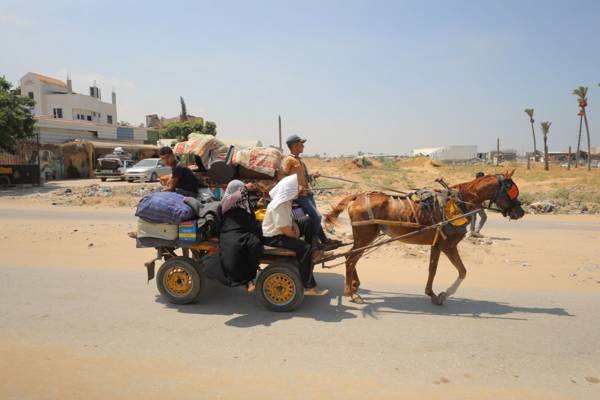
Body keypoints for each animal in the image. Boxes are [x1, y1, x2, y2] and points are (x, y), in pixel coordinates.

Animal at [324, 170, 524, 304]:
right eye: (511, 190)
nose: (520, 212)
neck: (459, 202)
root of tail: (357, 196)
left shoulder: (437, 244)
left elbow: (432, 269)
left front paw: (432, 293)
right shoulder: (448, 245)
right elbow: (462, 271)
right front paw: (444, 295)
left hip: (366, 237)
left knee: (351, 257)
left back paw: (355, 285)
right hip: (365, 236)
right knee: (351, 258)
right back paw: (351, 292)